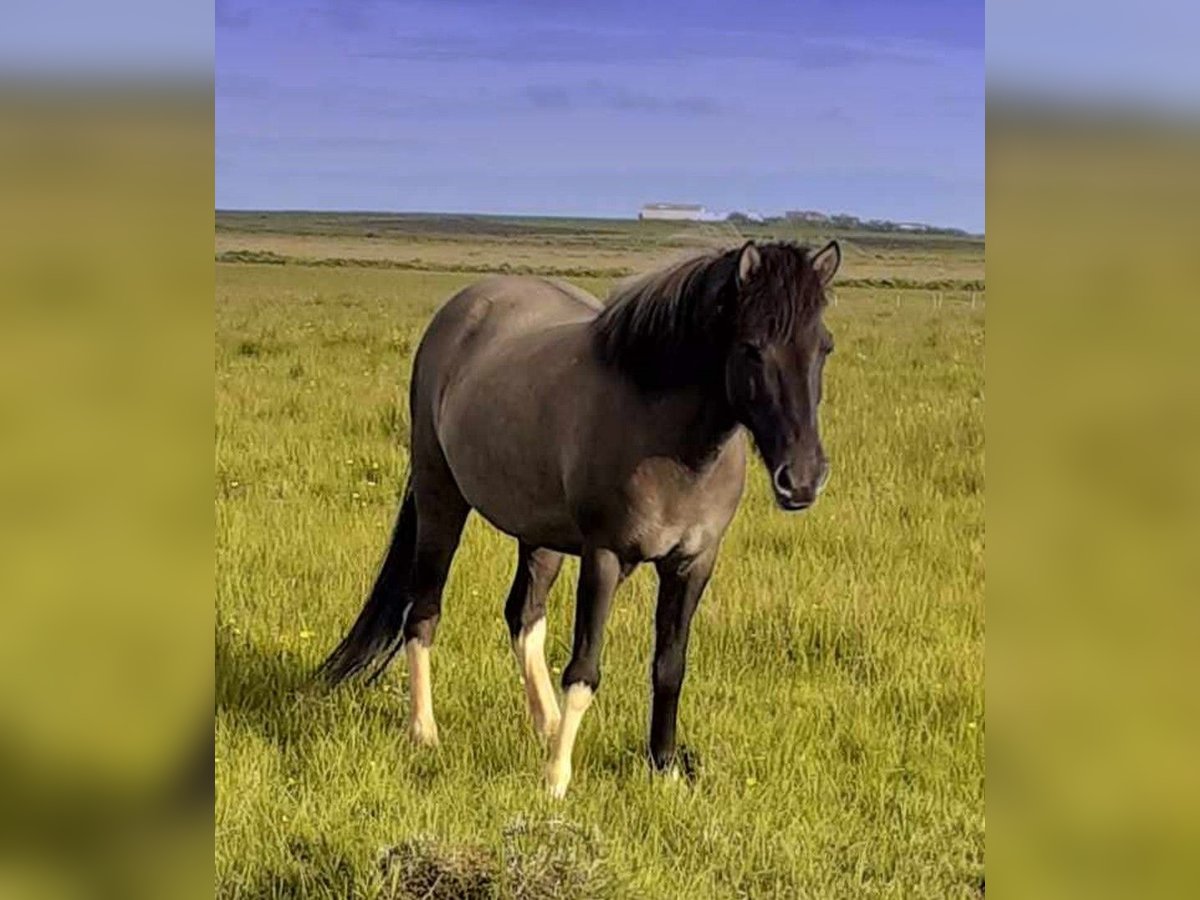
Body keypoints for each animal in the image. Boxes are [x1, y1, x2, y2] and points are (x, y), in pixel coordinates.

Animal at [321, 237, 844, 796]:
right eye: (752, 347)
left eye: (824, 346)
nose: (803, 479)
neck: (668, 438)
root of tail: (462, 308)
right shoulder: (604, 556)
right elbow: (584, 668)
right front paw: (557, 779)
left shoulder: (693, 563)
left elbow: (669, 666)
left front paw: (664, 768)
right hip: (442, 497)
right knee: (423, 611)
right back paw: (425, 730)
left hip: (541, 533)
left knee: (524, 616)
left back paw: (547, 723)